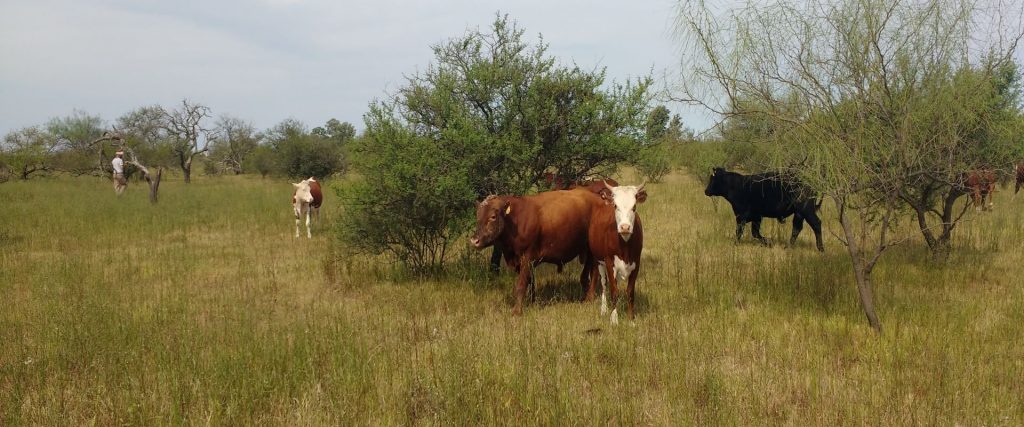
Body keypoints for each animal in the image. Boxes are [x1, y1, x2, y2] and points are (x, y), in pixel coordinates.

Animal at [589, 180, 643, 323]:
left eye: (634, 206)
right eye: (615, 206)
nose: (625, 227)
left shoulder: (636, 263)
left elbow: (630, 292)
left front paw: (631, 319)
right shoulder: (609, 262)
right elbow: (614, 291)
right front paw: (614, 319)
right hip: (598, 261)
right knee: (603, 283)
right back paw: (603, 309)